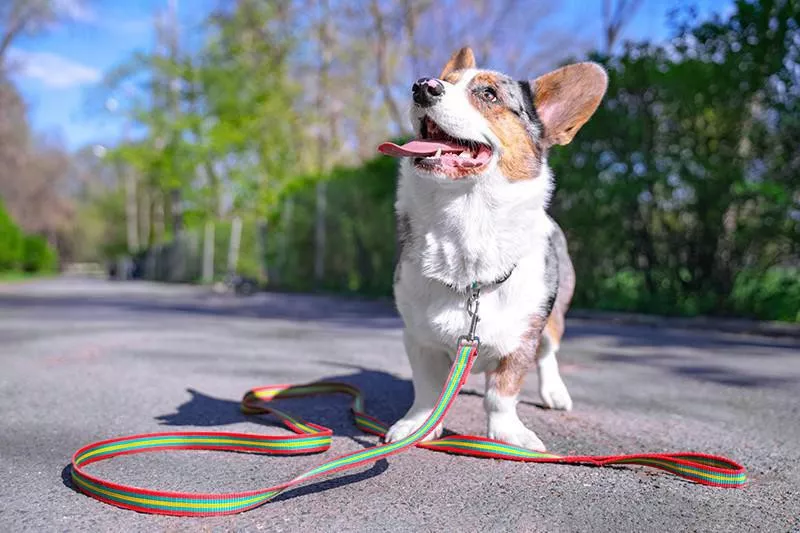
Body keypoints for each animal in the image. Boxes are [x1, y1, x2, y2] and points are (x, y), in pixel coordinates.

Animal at [376, 47, 608, 450]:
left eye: (488, 94)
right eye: (446, 81)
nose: (422, 86)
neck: (468, 218)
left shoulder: (521, 339)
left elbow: (501, 394)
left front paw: (507, 435)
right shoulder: (419, 338)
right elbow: (427, 390)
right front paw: (418, 425)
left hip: (555, 318)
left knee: (549, 355)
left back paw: (555, 393)